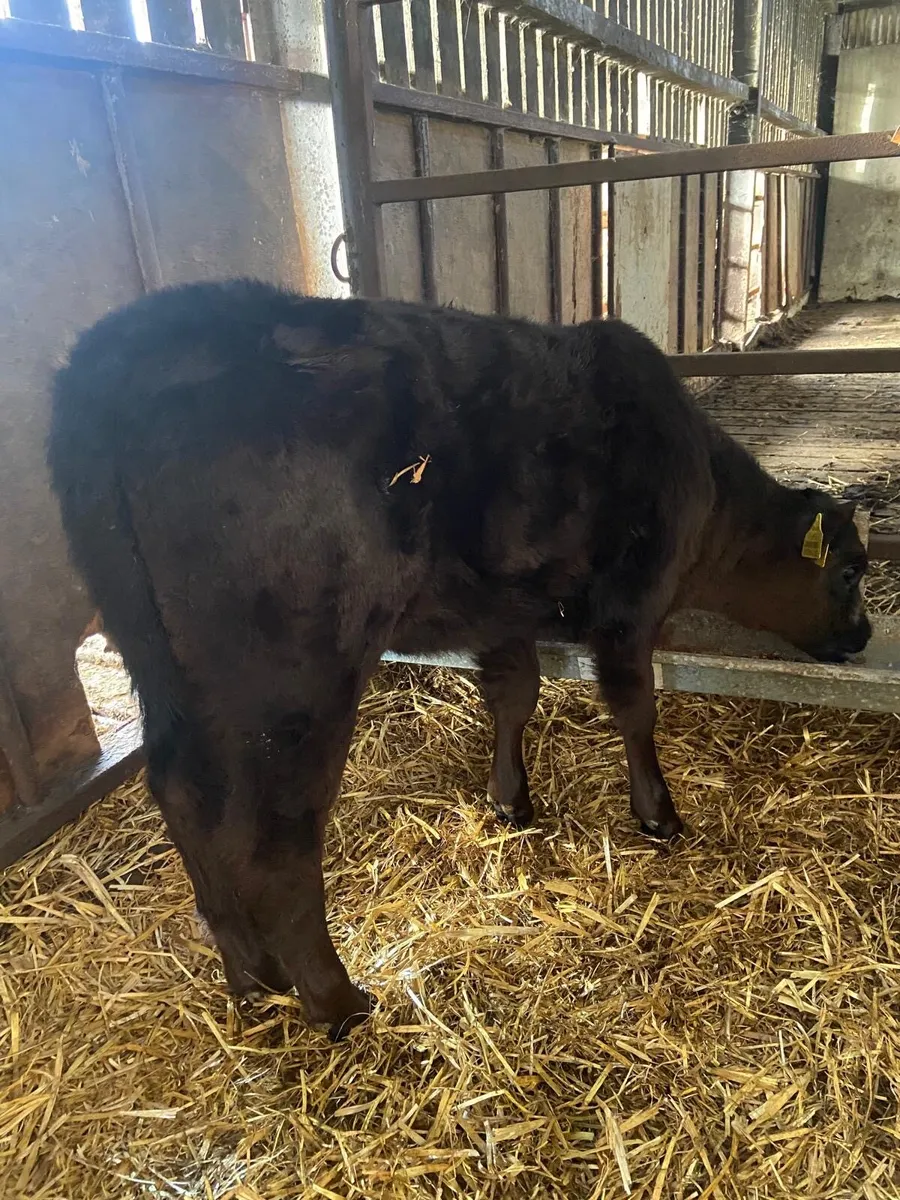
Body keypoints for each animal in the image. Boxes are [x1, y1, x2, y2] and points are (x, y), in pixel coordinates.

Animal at [47, 280, 870, 1038]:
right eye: (851, 572)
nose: (863, 635)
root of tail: (113, 358)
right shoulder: (630, 604)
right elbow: (636, 710)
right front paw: (658, 813)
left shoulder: (500, 609)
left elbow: (515, 694)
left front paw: (510, 799)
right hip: (293, 677)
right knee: (277, 837)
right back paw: (335, 1000)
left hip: (159, 660)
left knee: (182, 791)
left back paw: (252, 975)